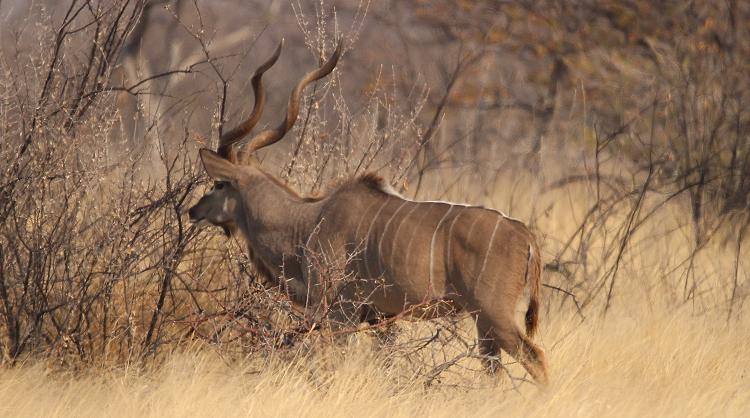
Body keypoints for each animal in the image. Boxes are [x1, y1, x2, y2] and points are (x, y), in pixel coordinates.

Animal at [188, 40, 548, 386]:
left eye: (219, 184)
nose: (194, 211)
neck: (306, 222)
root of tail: (525, 235)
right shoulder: (379, 318)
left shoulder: (338, 312)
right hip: (482, 323)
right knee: (495, 371)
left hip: (494, 316)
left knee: (537, 359)